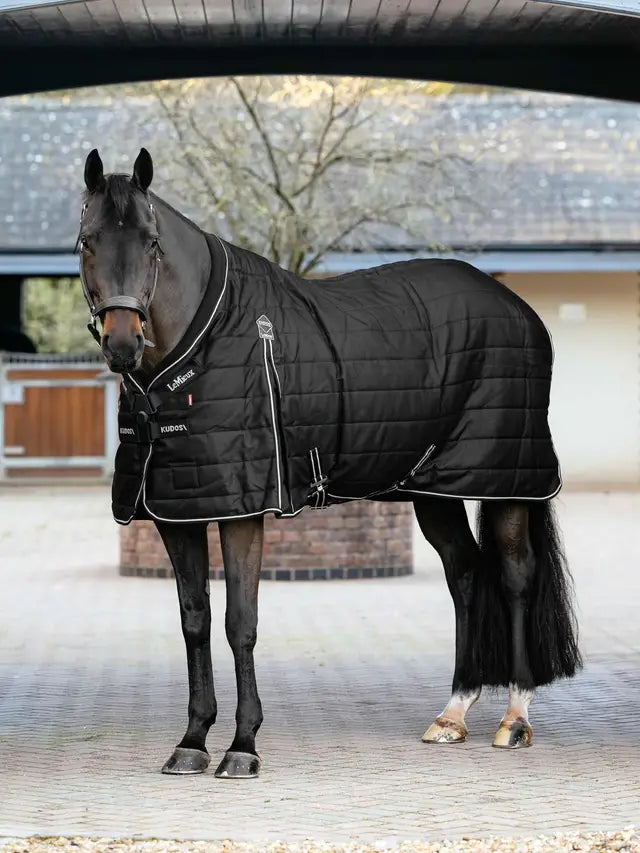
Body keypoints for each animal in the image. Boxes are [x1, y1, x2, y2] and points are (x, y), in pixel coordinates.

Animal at [77, 147, 581, 779]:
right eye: (88, 240)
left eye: (150, 241)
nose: (123, 343)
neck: (205, 341)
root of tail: (520, 310)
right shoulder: (177, 512)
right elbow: (195, 620)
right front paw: (192, 740)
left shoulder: (245, 511)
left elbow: (240, 623)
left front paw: (243, 746)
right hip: (432, 491)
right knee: (465, 574)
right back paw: (452, 714)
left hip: (509, 483)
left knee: (514, 577)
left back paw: (514, 719)